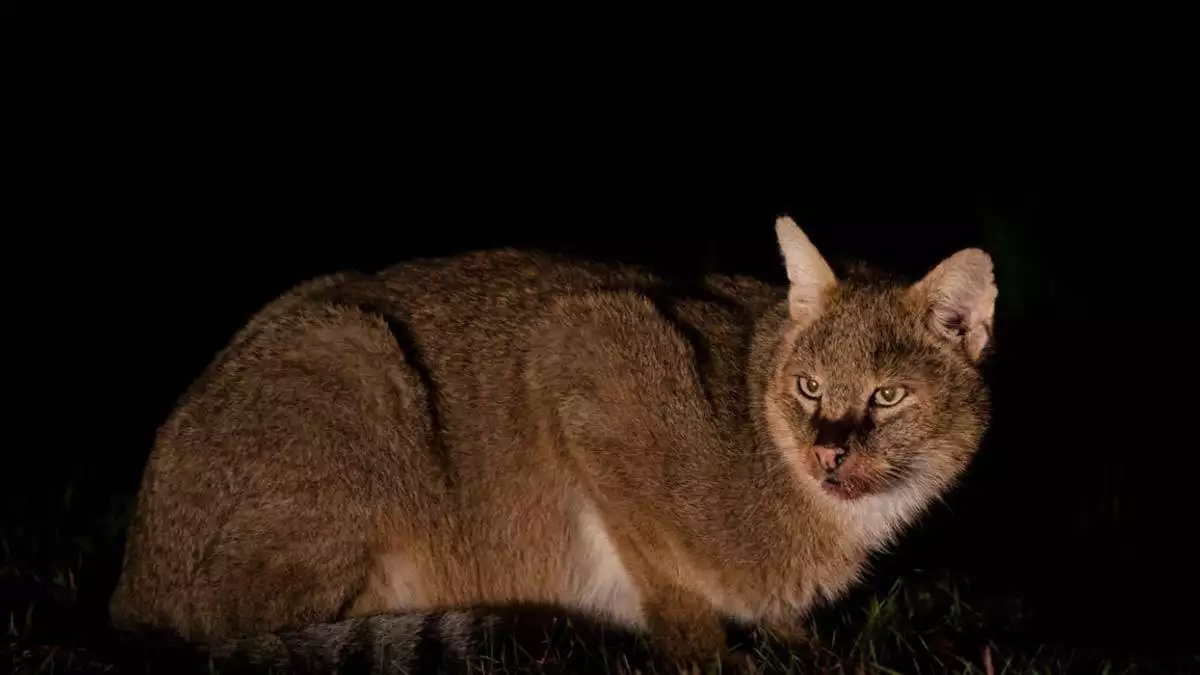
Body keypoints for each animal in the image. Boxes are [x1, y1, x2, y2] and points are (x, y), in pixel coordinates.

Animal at [110, 218, 993, 667]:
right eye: (808, 386)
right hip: (356, 356)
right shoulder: (585, 349)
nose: (828, 453)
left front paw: (795, 643)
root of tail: (131, 580)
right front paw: (709, 654)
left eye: (887, 395)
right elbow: (668, 579)